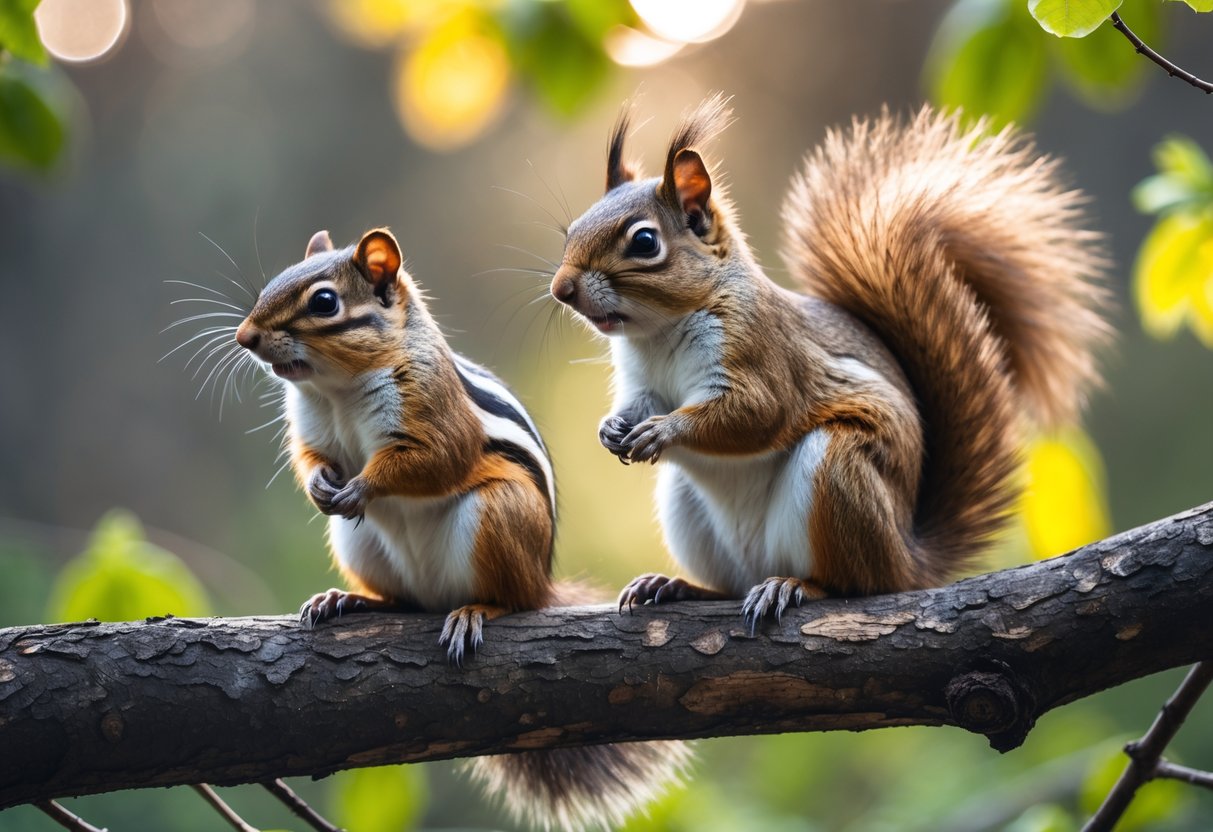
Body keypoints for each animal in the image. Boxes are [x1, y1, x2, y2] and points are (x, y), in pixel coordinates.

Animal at [234, 227, 688, 830]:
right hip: (359, 545)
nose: (244, 337)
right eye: (272, 283)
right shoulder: (312, 429)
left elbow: (434, 461)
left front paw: (362, 487)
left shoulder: (435, 414)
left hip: (498, 513)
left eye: (324, 302)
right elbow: (308, 458)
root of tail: (542, 580)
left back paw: (476, 610)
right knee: (403, 603)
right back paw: (348, 601)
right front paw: (321, 487)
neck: (336, 389)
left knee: (514, 601)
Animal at [550, 96, 1110, 629]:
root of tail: (907, 560)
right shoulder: (642, 379)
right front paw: (612, 427)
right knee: (731, 586)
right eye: (570, 230)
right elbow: (639, 403)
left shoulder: (764, 354)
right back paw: (678, 586)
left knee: (852, 584)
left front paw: (665, 431)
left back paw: (794, 586)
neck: (659, 333)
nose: (562, 289)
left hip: (839, 473)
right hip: (688, 508)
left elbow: (757, 414)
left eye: (644, 242)